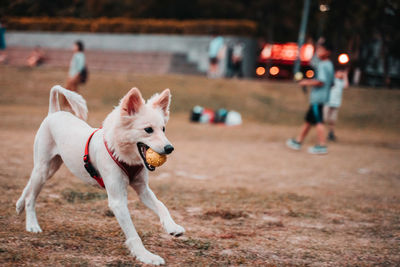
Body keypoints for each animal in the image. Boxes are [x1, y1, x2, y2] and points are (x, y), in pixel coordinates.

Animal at [15, 86, 184, 266]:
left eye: (163, 129)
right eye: (148, 130)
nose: (170, 148)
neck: (121, 153)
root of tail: (54, 112)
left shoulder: (143, 190)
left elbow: (161, 205)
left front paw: (173, 227)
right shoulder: (117, 201)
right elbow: (133, 234)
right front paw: (146, 255)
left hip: (51, 168)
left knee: (29, 184)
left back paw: (19, 204)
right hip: (43, 167)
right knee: (31, 197)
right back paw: (31, 223)